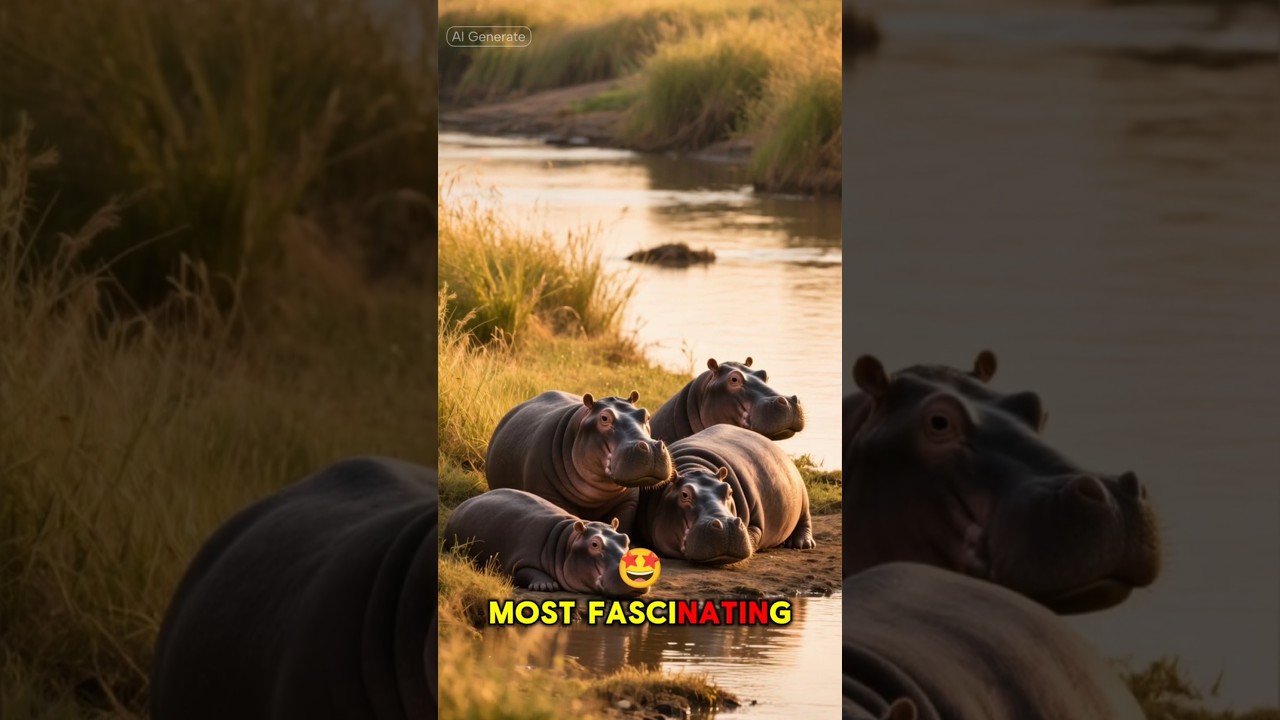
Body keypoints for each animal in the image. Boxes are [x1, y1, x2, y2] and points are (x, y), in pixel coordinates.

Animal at [443, 488, 645, 598]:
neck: (566, 543)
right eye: (594, 544)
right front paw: (546, 586)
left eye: (626, 539)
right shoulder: (520, 559)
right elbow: (528, 571)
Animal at [636, 424, 815, 565]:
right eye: (684, 494)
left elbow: (753, 536)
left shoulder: (756, 524)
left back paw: (802, 544)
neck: (694, 469)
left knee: (805, 520)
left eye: (729, 491)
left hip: (802, 496)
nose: (727, 525)